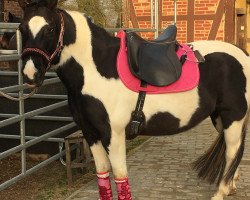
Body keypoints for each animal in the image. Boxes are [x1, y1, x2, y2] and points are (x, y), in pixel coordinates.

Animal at [16, 0, 249, 199]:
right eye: (21, 29)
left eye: (50, 28)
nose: (30, 74)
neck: (97, 69)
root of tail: (241, 54)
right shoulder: (91, 133)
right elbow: (103, 176)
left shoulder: (113, 134)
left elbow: (120, 177)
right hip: (220, 119)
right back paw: (231, 186)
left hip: (234, 117)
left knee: (232, 152)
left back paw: (221, 192)